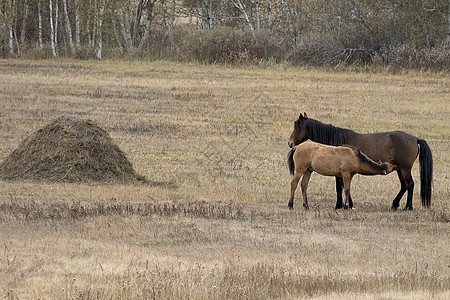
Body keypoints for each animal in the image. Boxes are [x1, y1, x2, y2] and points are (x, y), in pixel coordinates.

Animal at [288, 113, 432, 210]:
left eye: (296, 126)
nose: (290, 143)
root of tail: (415, 139)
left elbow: (340, 187)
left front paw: (341, 205)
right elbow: (343, 187)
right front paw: (346, 204)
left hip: (405, 169)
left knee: (410, 184)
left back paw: (408, 207)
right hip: (399, 169)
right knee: (404, 186)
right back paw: (394, 204)